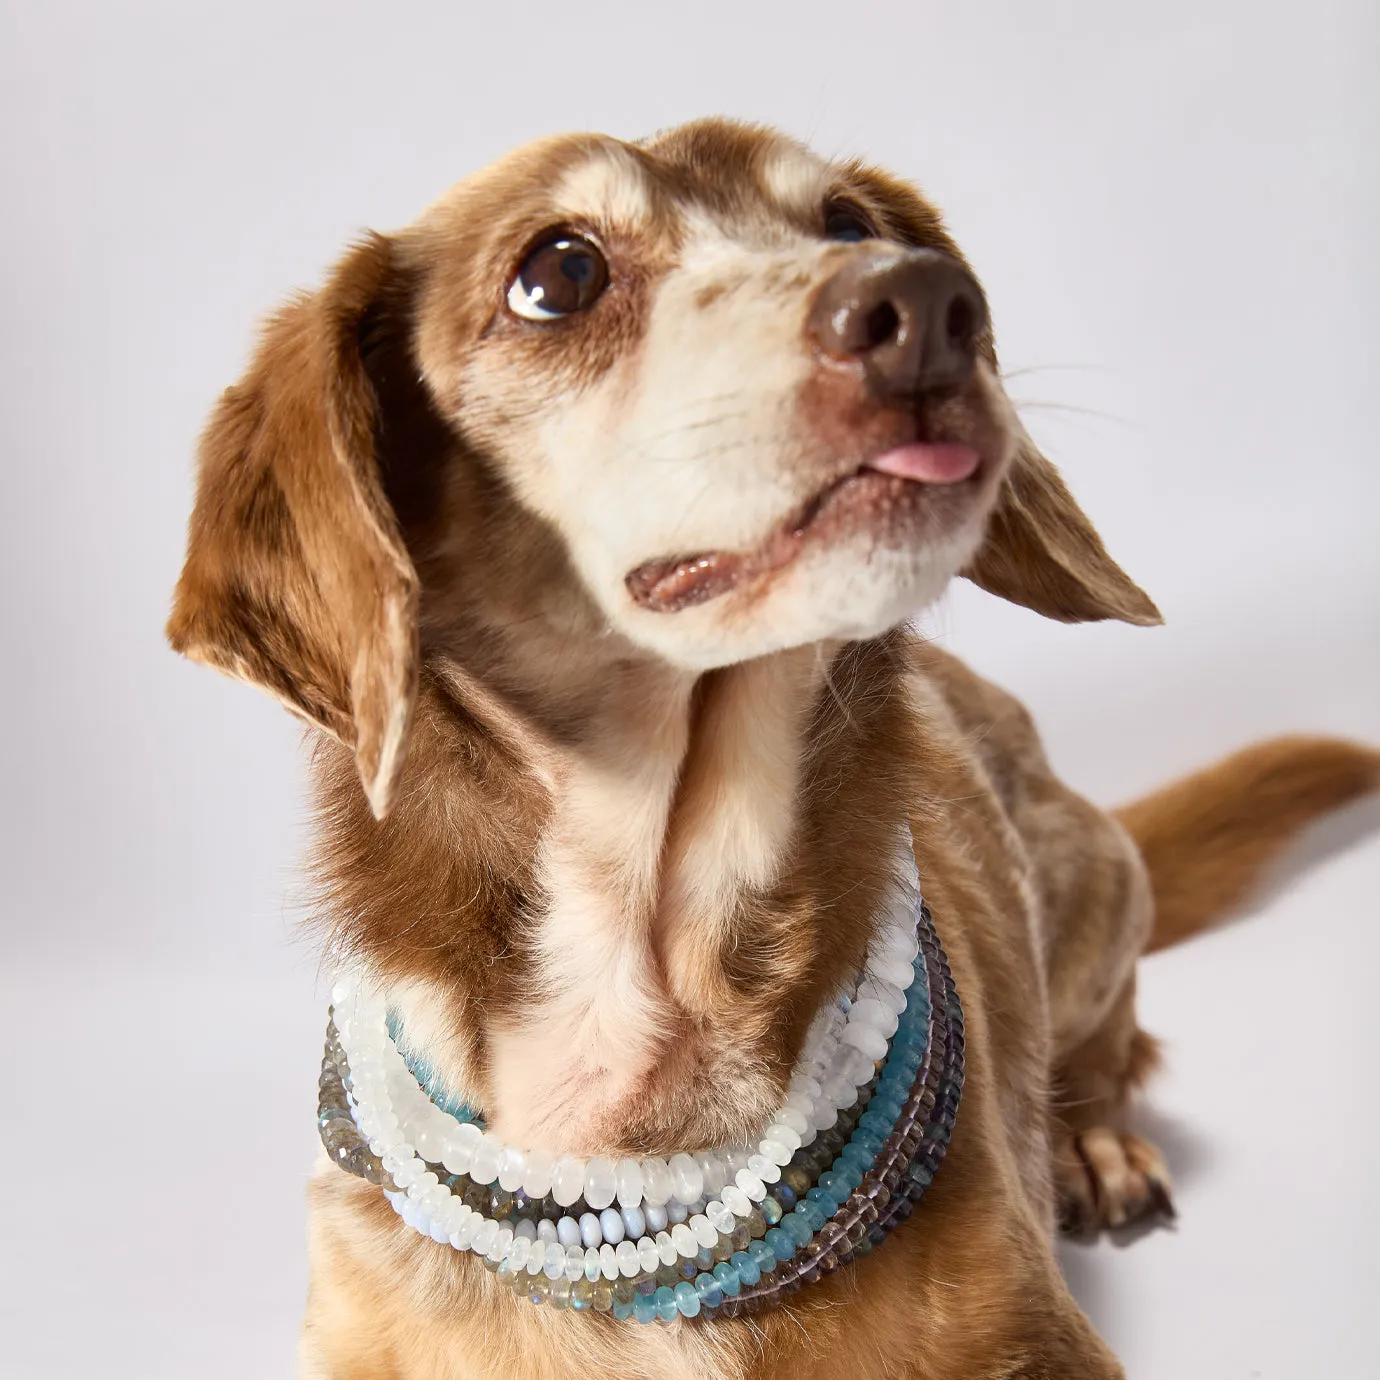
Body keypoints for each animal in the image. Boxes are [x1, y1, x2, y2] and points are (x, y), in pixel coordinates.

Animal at [166, 121, 1374, 1380]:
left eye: (846, 222)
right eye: (558, 273)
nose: (930, 305)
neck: (649, 994)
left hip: (1099, 879)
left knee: (1109, 1041)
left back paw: (1091, 1144)